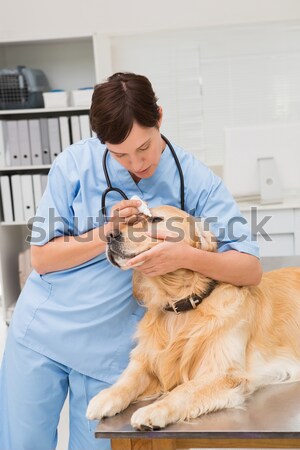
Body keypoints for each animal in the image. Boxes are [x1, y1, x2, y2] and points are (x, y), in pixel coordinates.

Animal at [85, 206, 300, 430]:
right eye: (132, 220)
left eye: (155, 219)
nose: (110, 235)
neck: (181, 305)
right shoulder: (146, 358)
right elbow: (128, 379)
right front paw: (106, 396)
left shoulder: (224, 372)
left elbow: (184, 390)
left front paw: (153, 410)